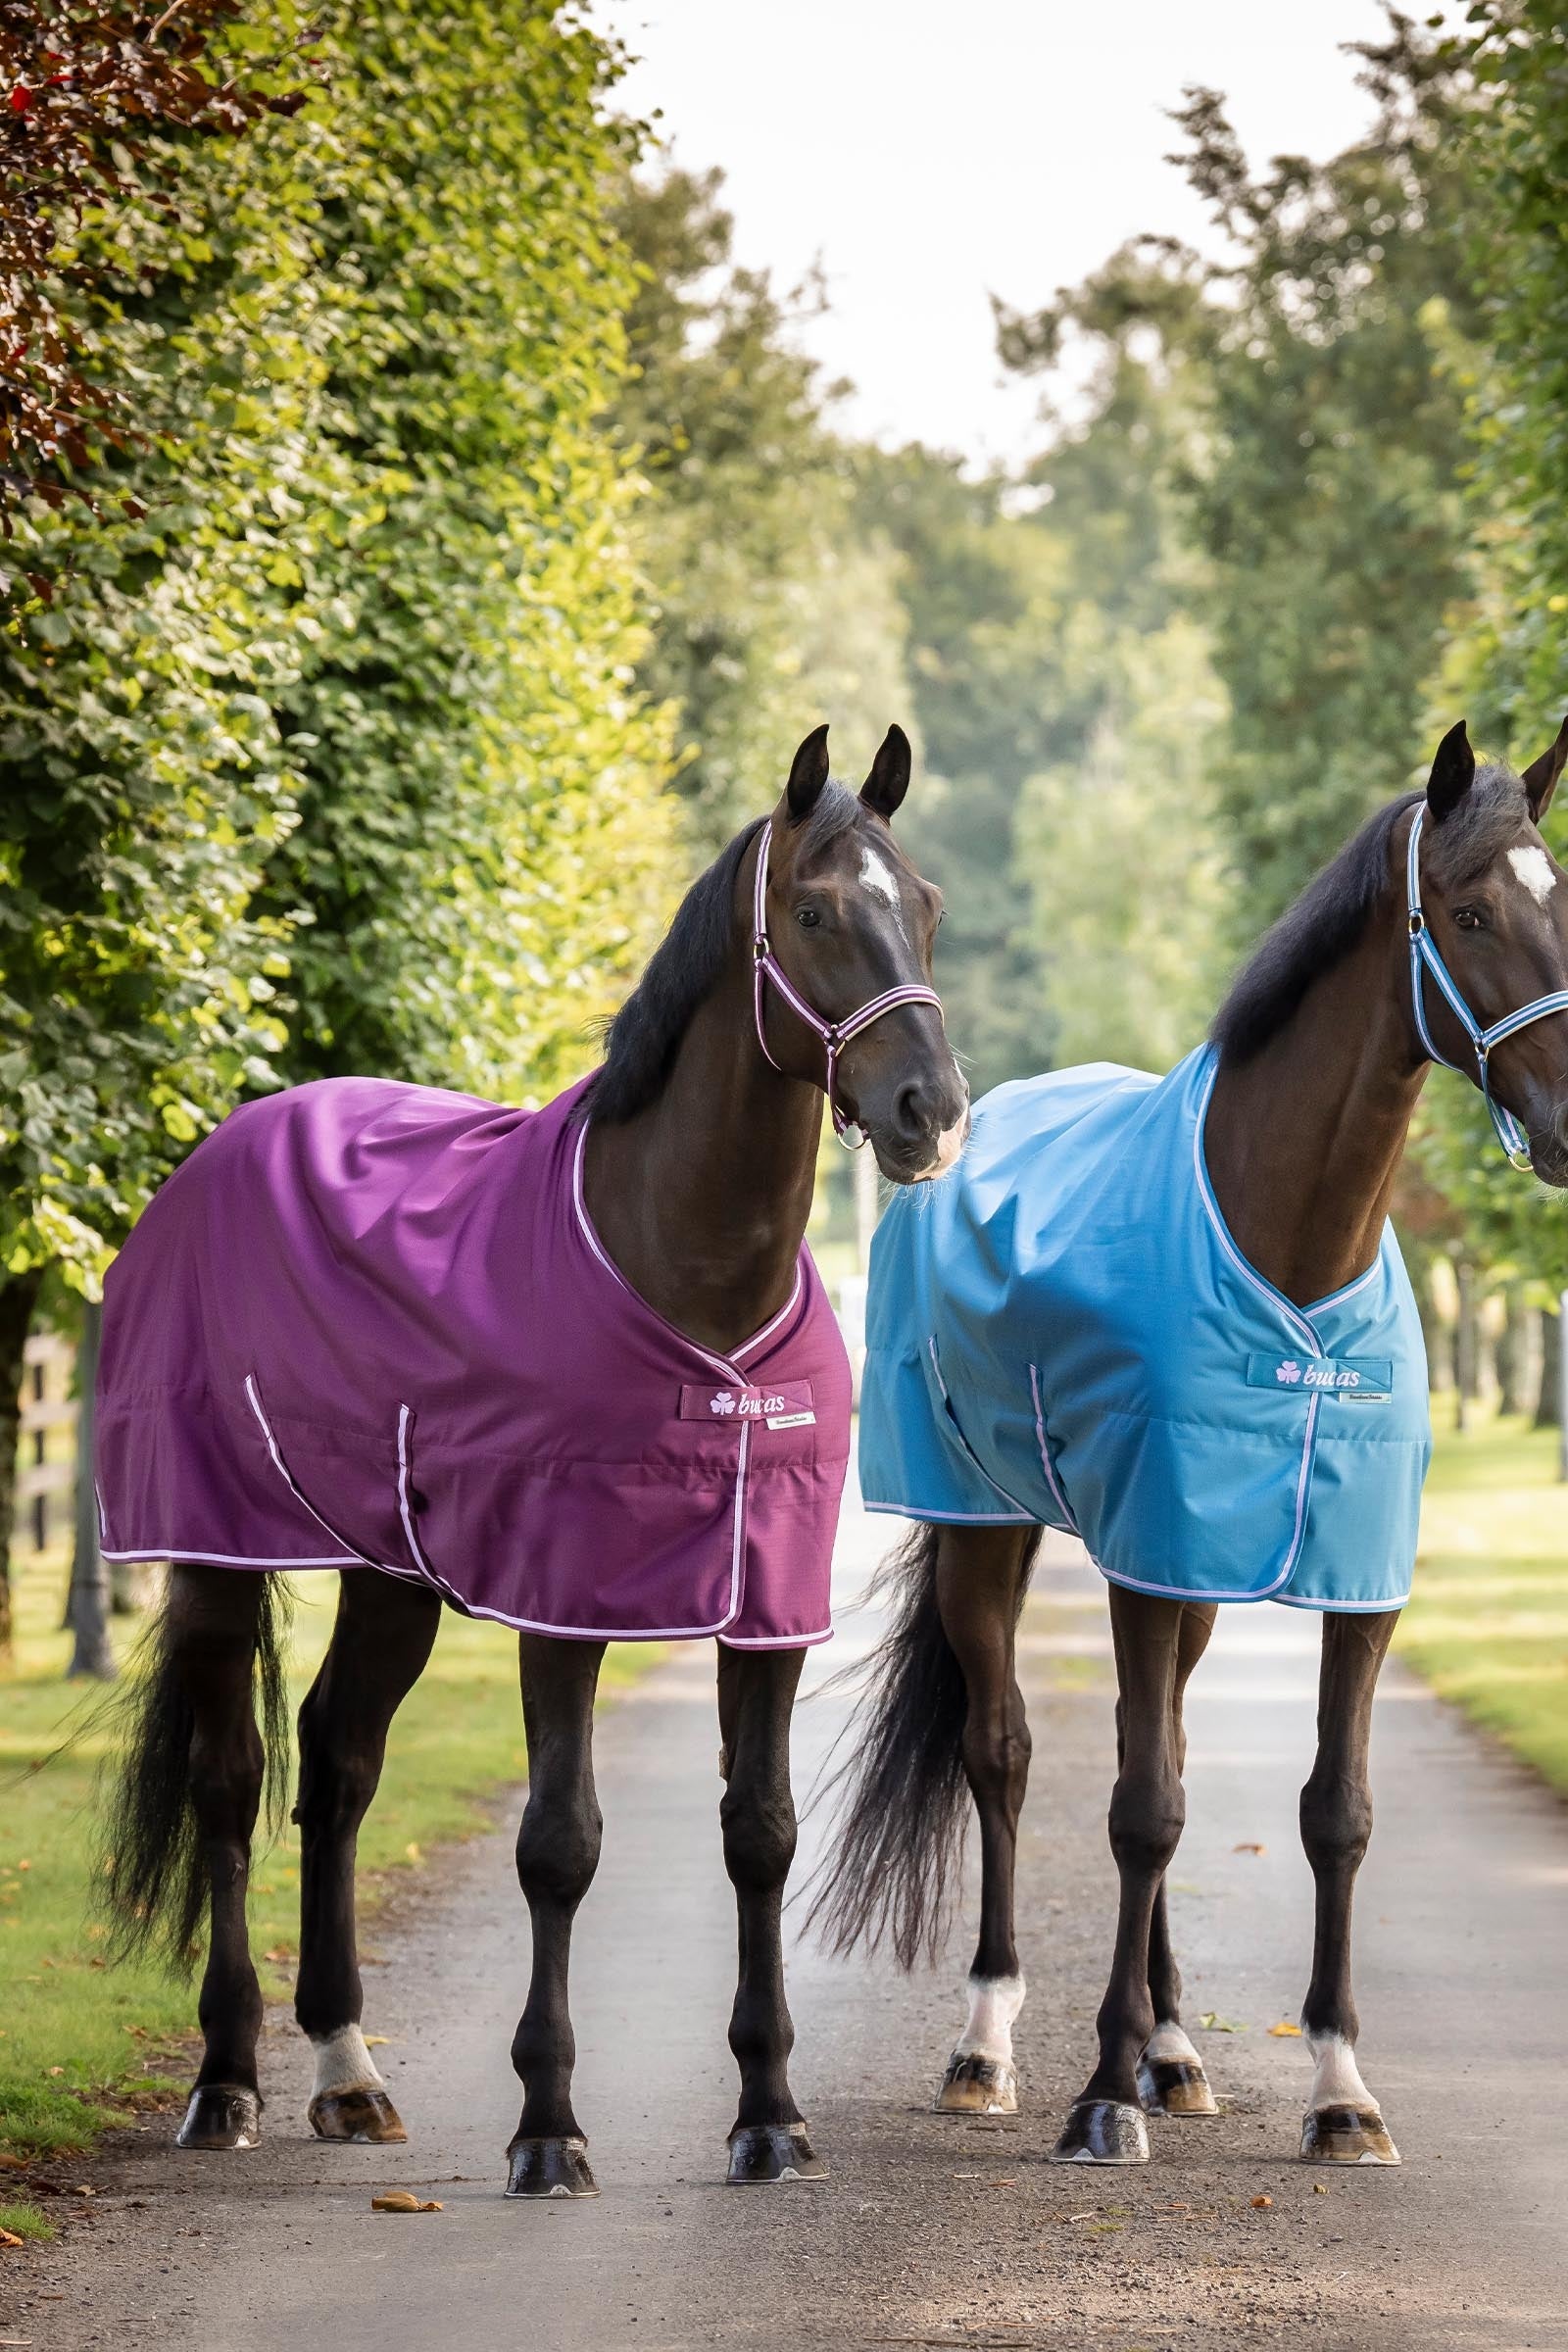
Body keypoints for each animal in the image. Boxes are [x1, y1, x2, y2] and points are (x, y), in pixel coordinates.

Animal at [96, 722, 969, 2197]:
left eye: (927, 908)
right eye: (812, 913)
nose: (932, 1111)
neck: (681, 1272)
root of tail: (218, 1150)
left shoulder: (767, 1611)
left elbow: (762, 1835)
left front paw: (769, 2115)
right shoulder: (562, 1600)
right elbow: (560, 1846)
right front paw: (549, 2128)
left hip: (388, 1573)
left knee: (338, 1763)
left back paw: (348, 2072)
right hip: (215, 1556)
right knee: (231, 1781)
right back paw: (225, 2082)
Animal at [812, 715, 1568, 2171]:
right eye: (1468, 910)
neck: (1286, 1248)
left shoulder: (1344, 1583)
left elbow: (1329, 1814)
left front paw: (1338, 2089)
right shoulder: (1149, 1560)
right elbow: (1141, 1811)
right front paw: (1100, 2096)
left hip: (1189, 1580)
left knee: (1139, 1750)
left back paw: (1175, 2051)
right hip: (988, 1537)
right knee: (1008, 1756)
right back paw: (990, 2047)